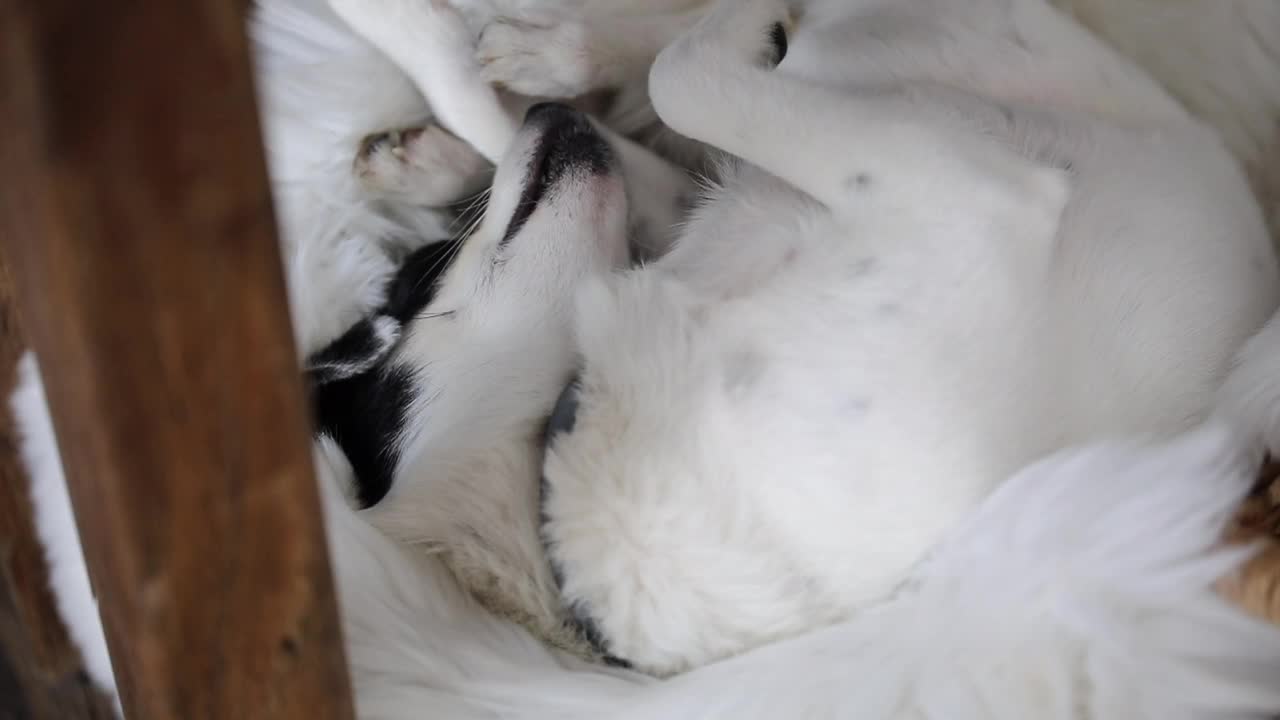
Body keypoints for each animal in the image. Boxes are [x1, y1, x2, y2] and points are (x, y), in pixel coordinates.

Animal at [312, 0, 1280, 671]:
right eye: (420, 281)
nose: (555, 121)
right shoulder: (981, 201)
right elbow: (682, 89)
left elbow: (663, 92)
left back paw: (538, 70)